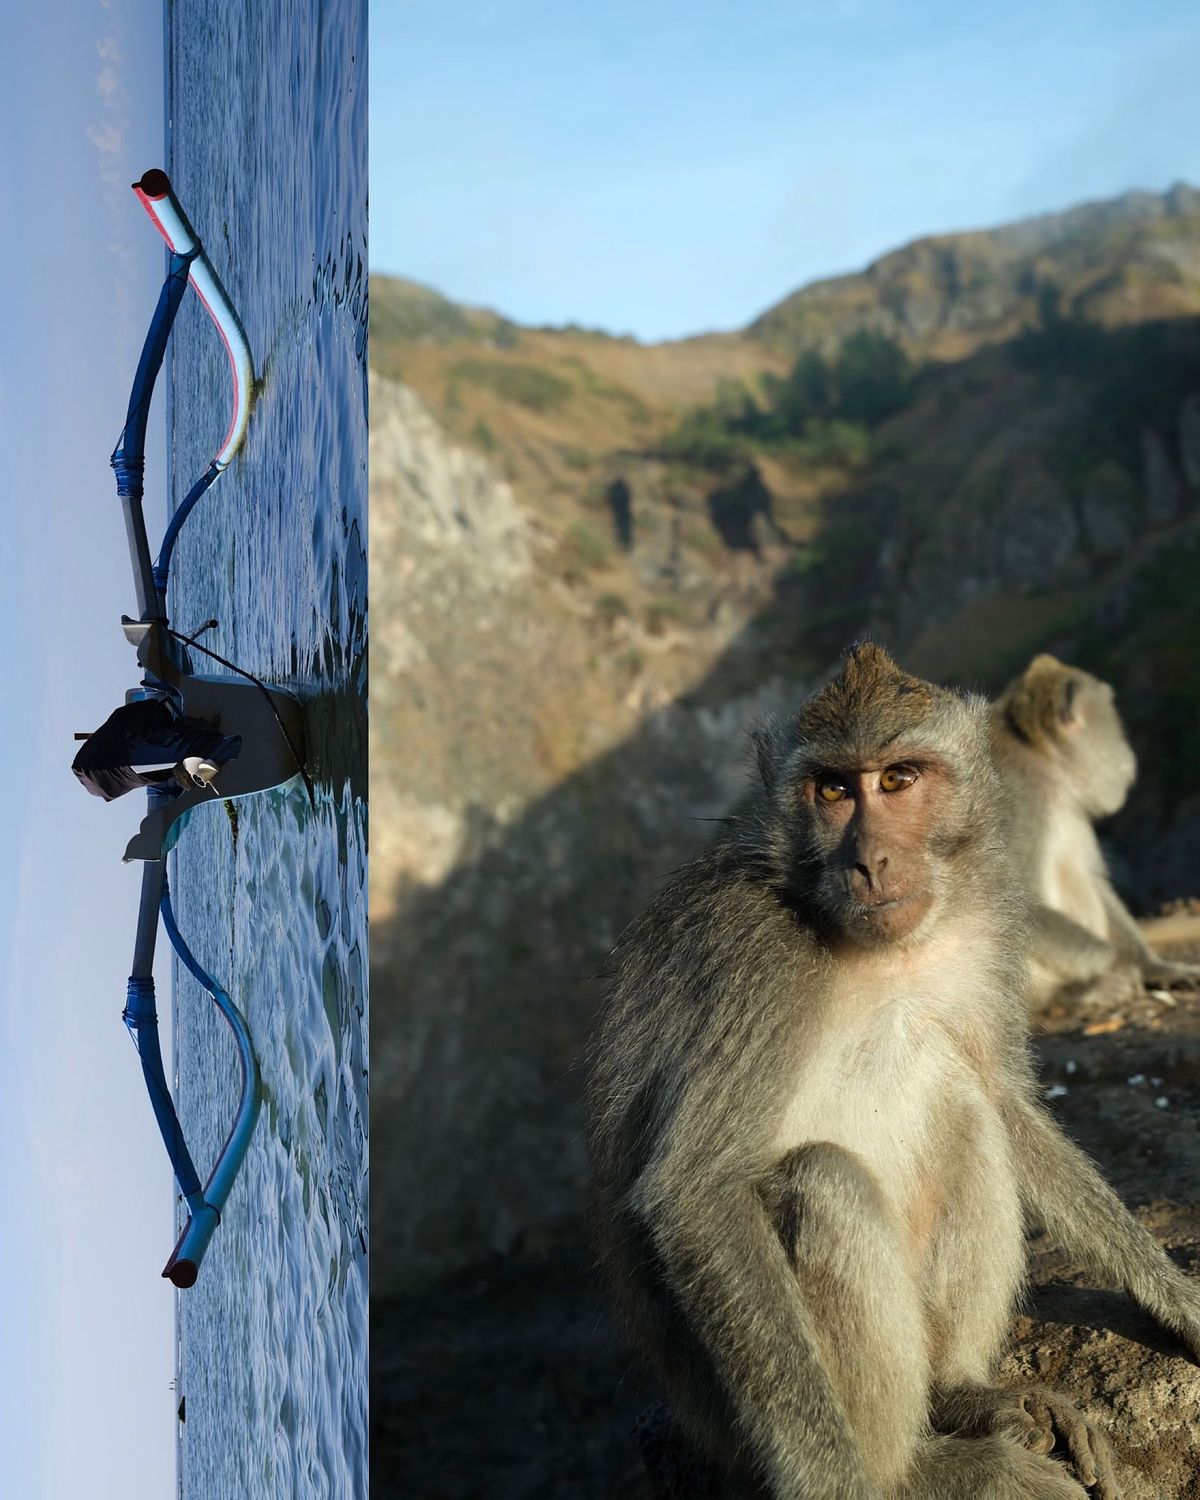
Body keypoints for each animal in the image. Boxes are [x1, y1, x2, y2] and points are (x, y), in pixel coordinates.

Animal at [990, 653, 1200, 1012]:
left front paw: (1152, 966)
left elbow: (1093, 877)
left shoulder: (1070, 811)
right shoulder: (1015, 804)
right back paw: (1071, 995)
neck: (1044, 767)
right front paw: (1119, 964)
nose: (1127, 753)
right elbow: (1016, 903)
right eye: (1111, 722)